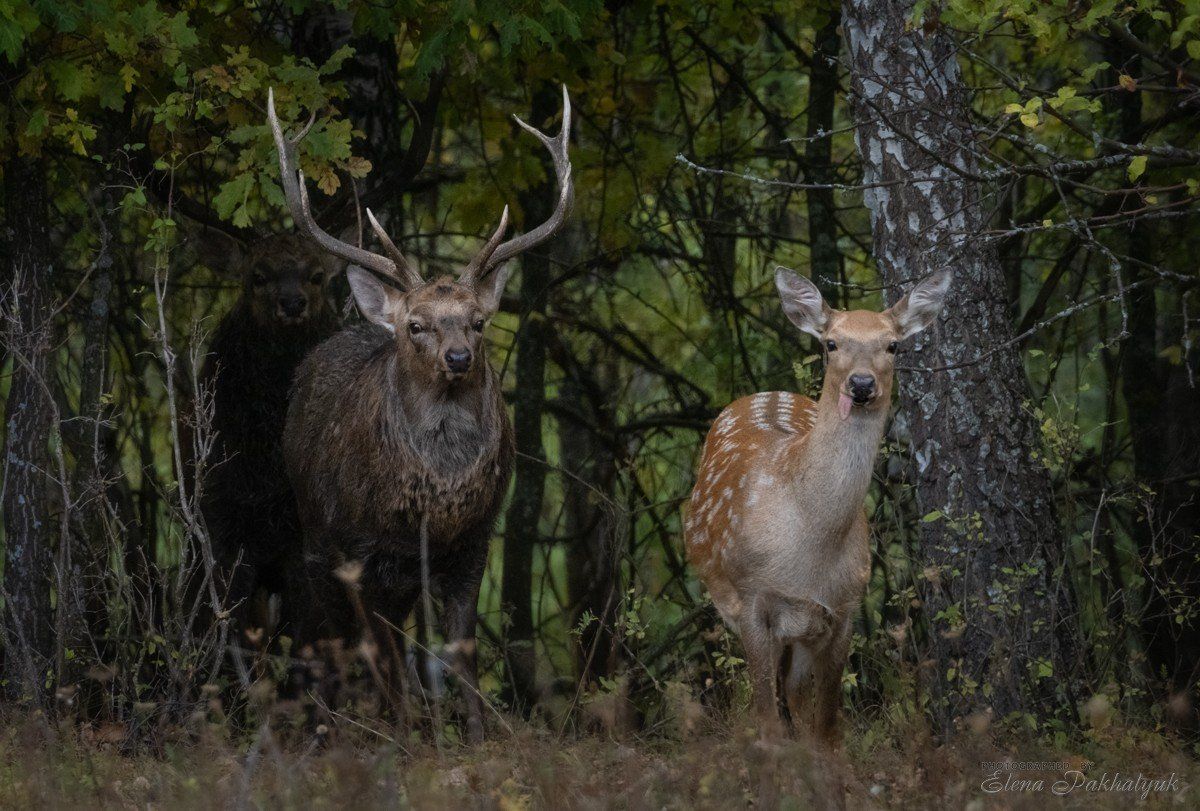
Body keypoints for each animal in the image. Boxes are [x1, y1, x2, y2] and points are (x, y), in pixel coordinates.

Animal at [268, 83, 576, 739]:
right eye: (416, 325)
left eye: (478, 321)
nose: (458, 356)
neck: (435, 499)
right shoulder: (358, 550)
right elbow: (383, 660)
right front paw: (408, 741)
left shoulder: (472, 543)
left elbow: (461, 657)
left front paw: (474, 738)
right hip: (314, 537)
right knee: (329, 634)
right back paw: (328, 723)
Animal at [686, 263, 945, 739]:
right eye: (831, 342)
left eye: (893, 344)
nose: (861, 384)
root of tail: (767, 393)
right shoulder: (752, 599)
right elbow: (766, 720)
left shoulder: (845, 607)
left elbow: (826, 727)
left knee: (795, 696)